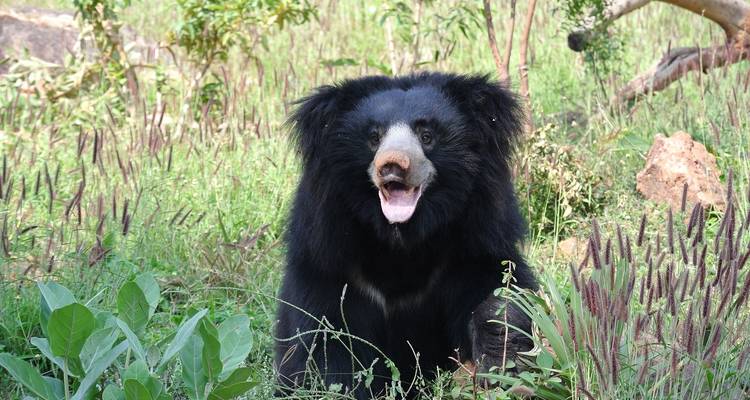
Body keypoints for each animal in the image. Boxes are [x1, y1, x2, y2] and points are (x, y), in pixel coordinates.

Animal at [274, 72, 537, 398]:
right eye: (374, 137)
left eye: (427, 136)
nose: (392, 165)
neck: (402, 237)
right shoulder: (328, 254)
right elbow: (325, 333)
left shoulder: (475, 240)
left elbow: (498, 291)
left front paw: (498, 360)